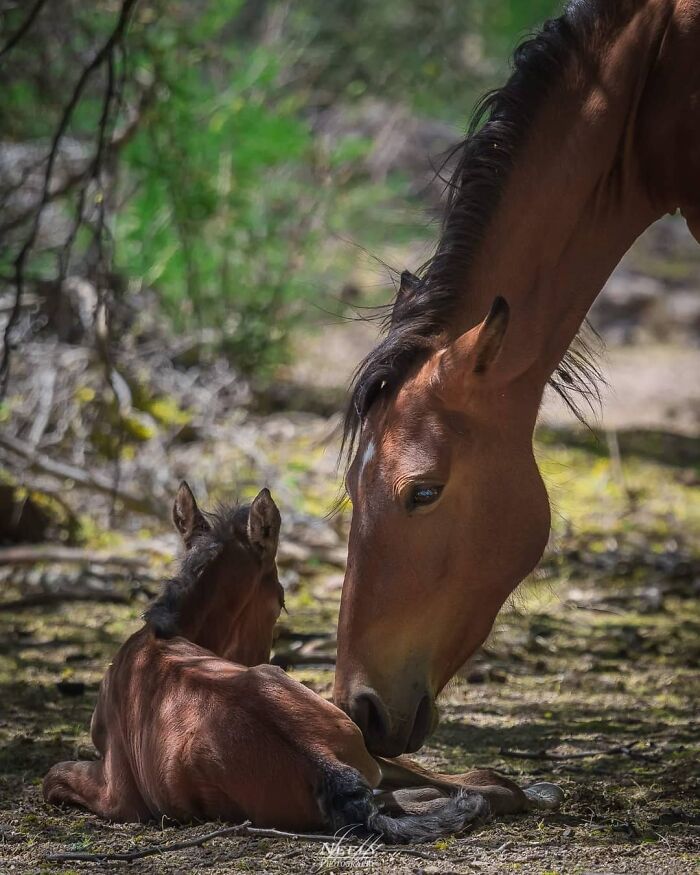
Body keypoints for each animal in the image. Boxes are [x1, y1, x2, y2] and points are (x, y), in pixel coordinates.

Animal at [44, 483, 560, 841]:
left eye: (280, 600)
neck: (159, 637)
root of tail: (322, 766)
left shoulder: (118, 794)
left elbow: (52, 776)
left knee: (454, 789)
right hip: (357, 748)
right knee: (466, 787)